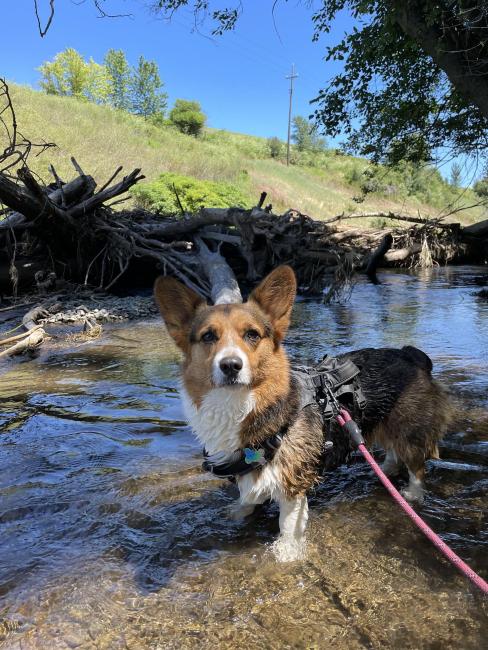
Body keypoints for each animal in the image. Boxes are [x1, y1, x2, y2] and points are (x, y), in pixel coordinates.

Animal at [155, 266, 454, 560]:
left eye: (252, 334)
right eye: (208, 336)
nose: (230, 365)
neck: (239, 404)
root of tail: (411, 355)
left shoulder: (293, 478)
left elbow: (288, 523)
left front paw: (286, 554)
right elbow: (248, 495)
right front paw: (237, 512)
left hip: (410, 432)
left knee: (416, 467)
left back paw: (412, 495)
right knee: (392, 451)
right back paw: (385, 469)